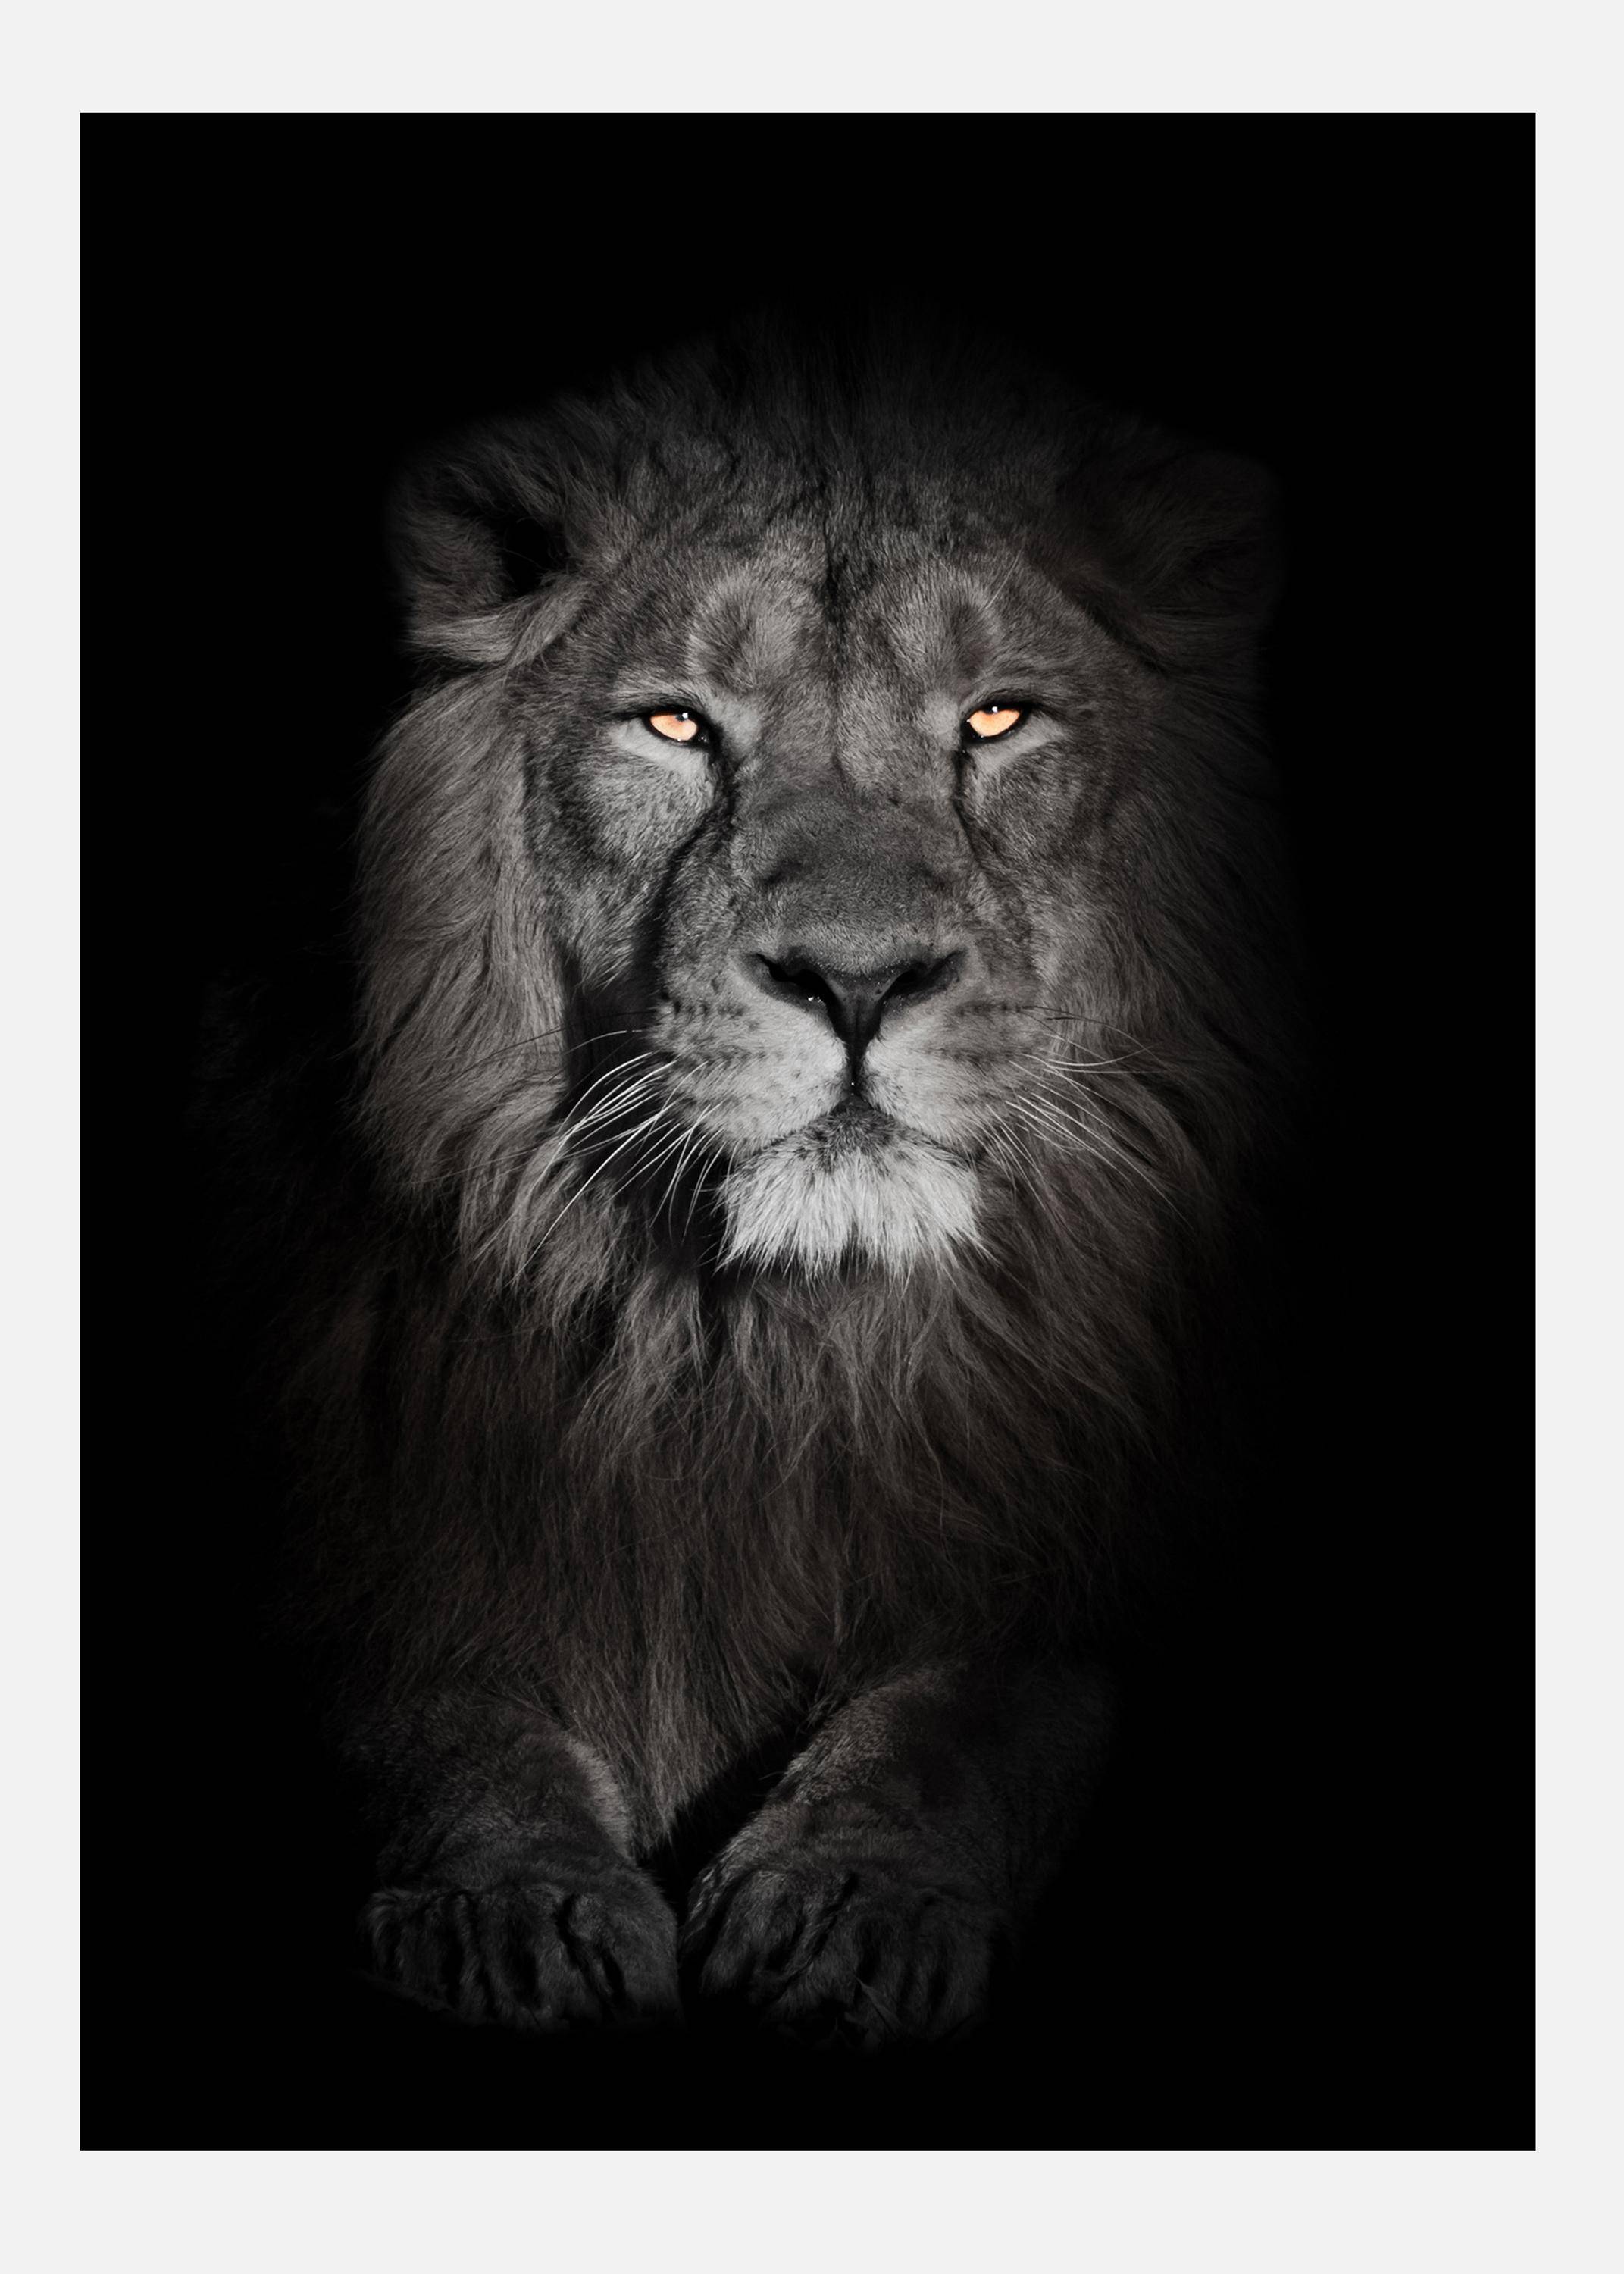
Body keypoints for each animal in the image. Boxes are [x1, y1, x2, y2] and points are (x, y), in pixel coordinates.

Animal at [253, 316, 1294, 2048]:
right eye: (675, 726)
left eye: (998, 720)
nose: (856, 983)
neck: (765, 1351)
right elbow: (431, 1706)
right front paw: (515, 1906)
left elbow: (975, 1713)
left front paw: (851, 1904)